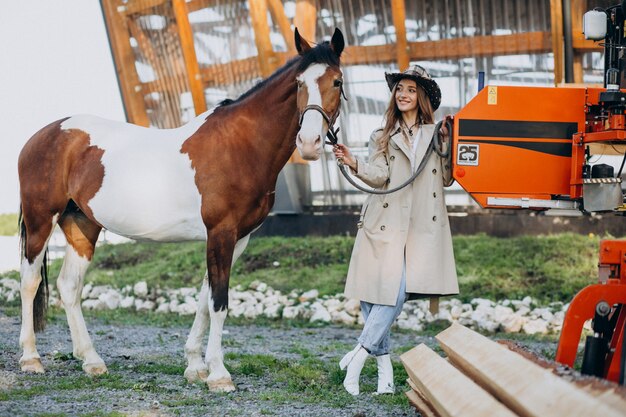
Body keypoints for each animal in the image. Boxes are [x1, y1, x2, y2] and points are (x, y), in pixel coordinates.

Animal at [17, 28, 344, 390]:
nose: (310, 143)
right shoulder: (221, 232)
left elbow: (204, 300)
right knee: (29, 282)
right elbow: (219, 303)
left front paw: (195, 366)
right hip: (40, 221)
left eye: (337, 82)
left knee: (69, 287)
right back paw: (31, 359)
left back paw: (92, 361)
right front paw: (219, 374)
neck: (240, 145)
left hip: (82, 225)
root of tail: (43, 135)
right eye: (299, 83)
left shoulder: (236, 239)